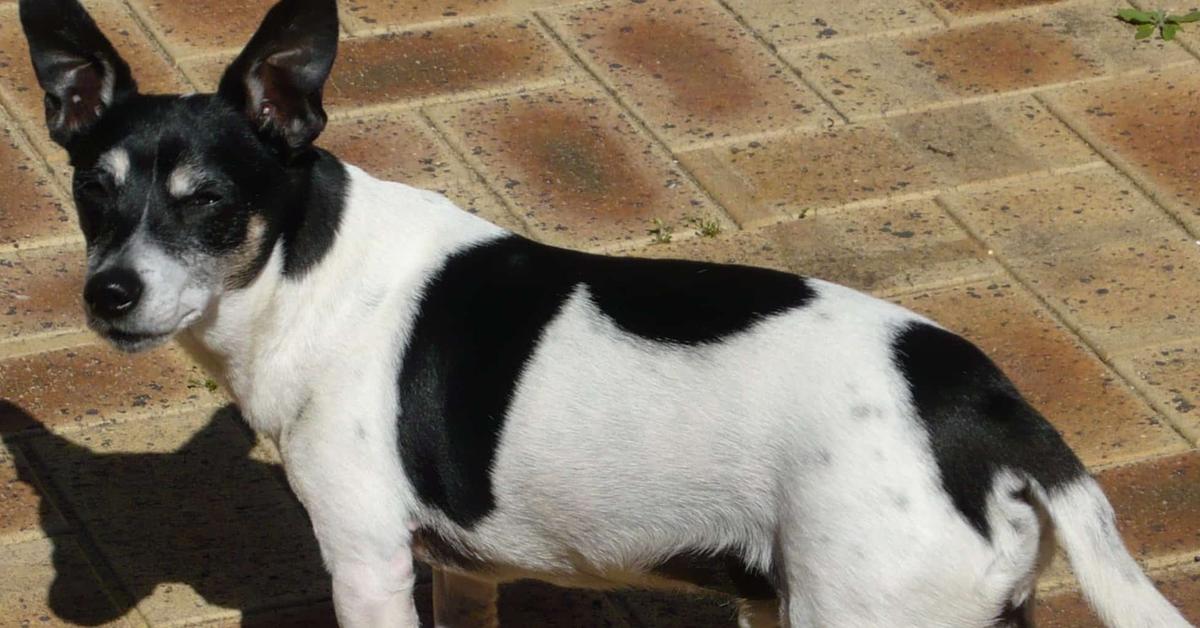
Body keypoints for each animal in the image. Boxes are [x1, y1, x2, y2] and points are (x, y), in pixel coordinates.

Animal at [16, 1, 1190, 628]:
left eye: (209, 204)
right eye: (91, 193)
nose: (107, 292)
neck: (307, 266)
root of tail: (990, 412)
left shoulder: (365, 556)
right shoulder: (452, 566)